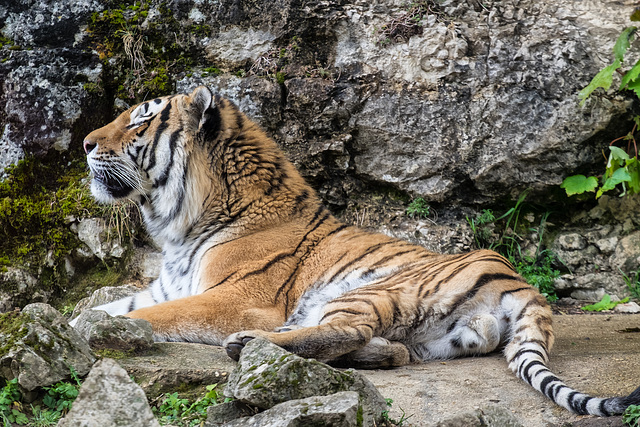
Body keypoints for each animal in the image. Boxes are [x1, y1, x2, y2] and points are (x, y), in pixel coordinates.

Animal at [79, 86, 640, 418]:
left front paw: (89, 329)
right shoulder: (162, 286)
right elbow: (112, 307)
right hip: (436, 337)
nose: (84, 144)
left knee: (345, 331)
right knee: (389, 349)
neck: (182, 223)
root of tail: (524, 287)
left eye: (139, 122)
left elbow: (152, 316)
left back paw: (250, 344)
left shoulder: (234, 299)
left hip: (373, 289)